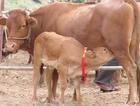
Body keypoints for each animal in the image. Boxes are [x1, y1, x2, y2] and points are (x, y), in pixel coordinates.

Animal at [0, 0, 139, 104]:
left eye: (23, 25)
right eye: (8, 25)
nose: (10, 46)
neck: (44, 20)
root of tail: (126, 2)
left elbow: (54, 77)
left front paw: (52, 98)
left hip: (120, 50)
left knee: (131, 68)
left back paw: (133, 100)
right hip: (132, 49)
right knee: (136, 69)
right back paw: (129, 99)